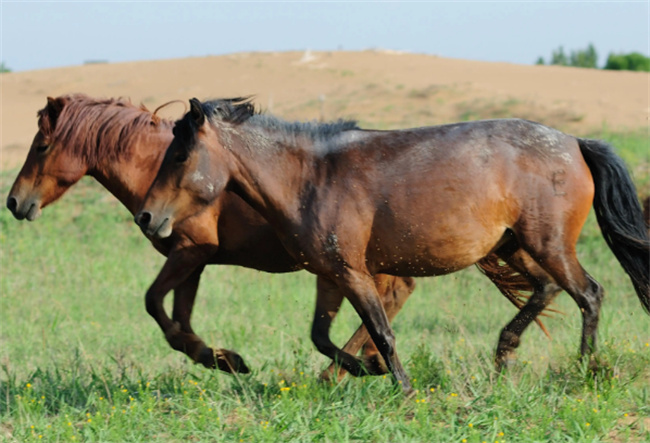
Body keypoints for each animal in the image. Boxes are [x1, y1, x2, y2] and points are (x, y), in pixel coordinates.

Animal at [137, 99, 648, 394]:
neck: (310, 178)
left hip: (548, 243)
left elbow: (381, 332)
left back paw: (586, 369)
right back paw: (504, 356)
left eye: (179, 155)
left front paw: (401, 386)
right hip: (514, 246)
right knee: (548, 289)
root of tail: (575, 143)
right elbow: (321, 337)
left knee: (589, 294)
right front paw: (368, 371)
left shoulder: (353, 272)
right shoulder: (330, 274)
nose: (146, 217)